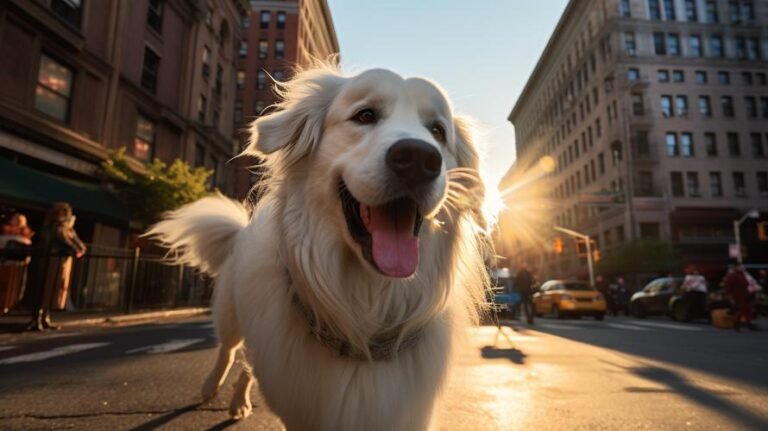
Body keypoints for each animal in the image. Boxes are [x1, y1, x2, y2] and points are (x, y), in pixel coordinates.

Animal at [147, 66, 488, 430]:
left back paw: (238, 402)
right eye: (365, 115)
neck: (365, 313)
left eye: (437, 131)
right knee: (228, 350)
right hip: (231, 313)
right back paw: (211, 388)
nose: (419, 159)